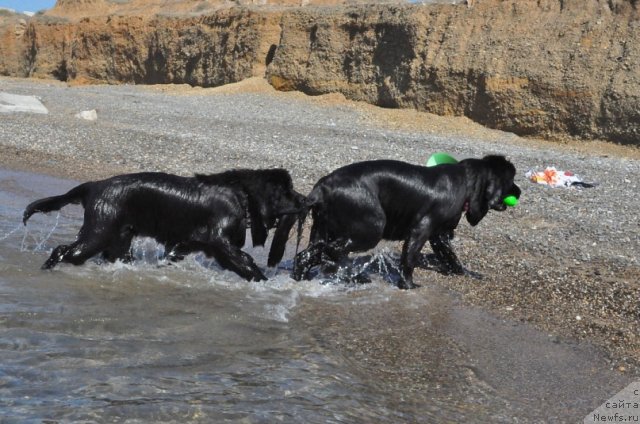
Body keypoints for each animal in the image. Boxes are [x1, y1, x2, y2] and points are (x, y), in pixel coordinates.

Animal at [23, 169, 304, 282]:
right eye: (287, 191)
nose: (305, 199)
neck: (241, 194)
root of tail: (94, 185)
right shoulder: (220, 242)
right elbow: (245, 262)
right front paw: (265, 281)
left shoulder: (183, 244)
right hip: (98, 231)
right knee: (63, 250)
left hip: (118, 238)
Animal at [290, 156, 520, 288]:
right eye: (510, 180)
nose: (519, 191)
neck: (465, 181)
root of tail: (321, 188)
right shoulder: (421, 229)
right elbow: (409, 258)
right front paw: (408, 285)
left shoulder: (438, 236)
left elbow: (451, 257)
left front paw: (468, 274)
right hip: (371, 227)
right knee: (332, 251)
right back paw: (354, 276)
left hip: (322, 228)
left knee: (306, 255)